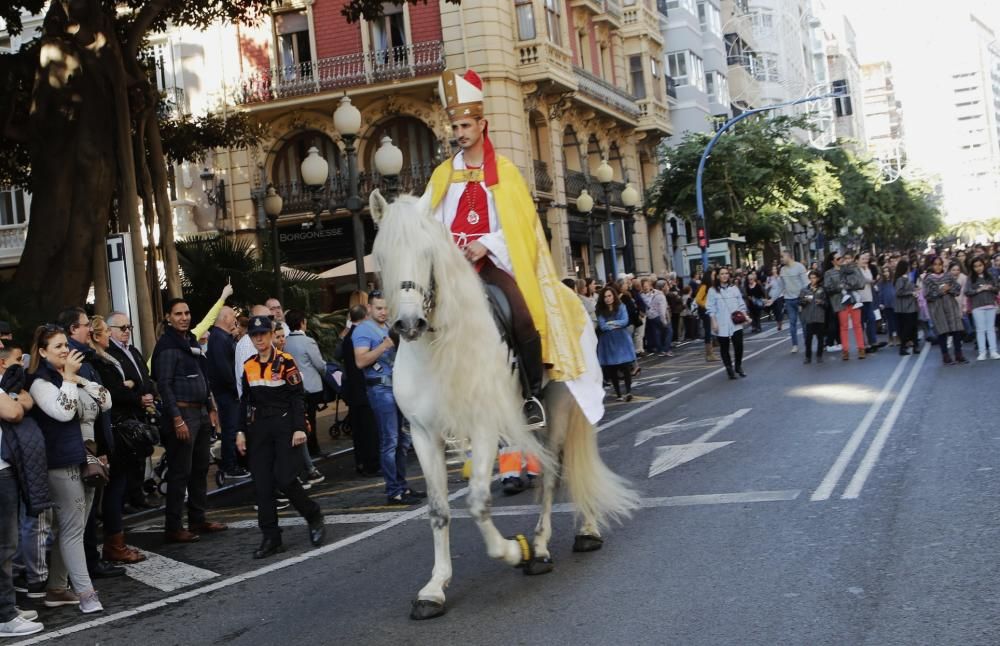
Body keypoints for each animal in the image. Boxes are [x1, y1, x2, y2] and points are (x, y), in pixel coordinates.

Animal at [370, 190, 640, 620]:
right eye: (381, 256)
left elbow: (479, 502)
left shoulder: (483, 424)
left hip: (562, 407)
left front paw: (515, 551)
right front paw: (434, 589)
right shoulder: (425, 434)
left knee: (554, 474)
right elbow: (439, 510)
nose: (408, 324)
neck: (434, 349)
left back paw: (553, 545)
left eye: (428, 252)